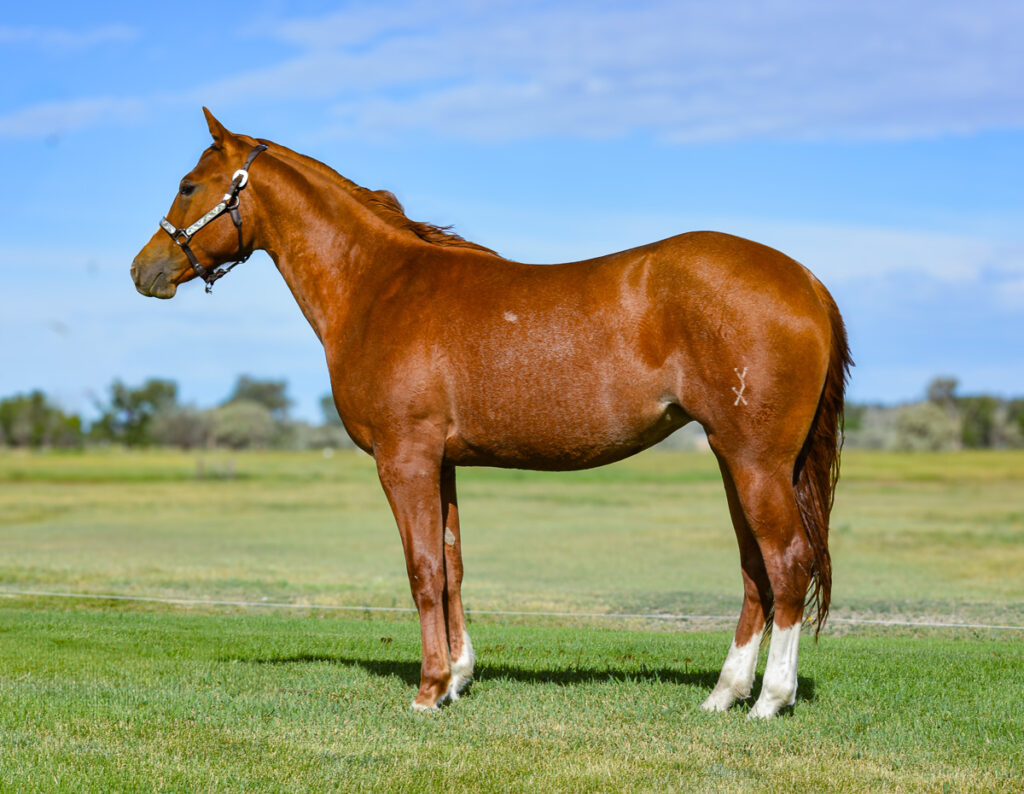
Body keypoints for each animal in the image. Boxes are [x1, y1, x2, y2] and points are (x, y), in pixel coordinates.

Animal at [134, 107, 847, 721]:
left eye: (189, 185)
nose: (145, 270)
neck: (379, 286)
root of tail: (806, 281)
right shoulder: (442, 463)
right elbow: (451, 567)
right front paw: (458, 678)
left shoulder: (405, 459)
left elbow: (422, 570)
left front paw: (428, 691)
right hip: (736, 460)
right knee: (756, 570)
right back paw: (724, 694)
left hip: (756, 462)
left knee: (787, 562)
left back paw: (769, 699)